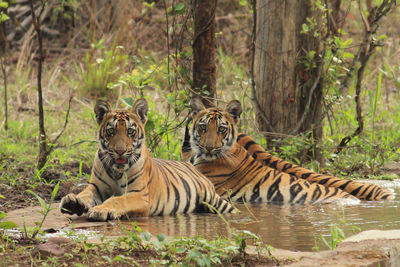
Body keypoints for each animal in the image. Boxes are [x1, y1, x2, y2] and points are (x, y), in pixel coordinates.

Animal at [59, 98, 234, 222]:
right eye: (111, 131)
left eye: (130, 131)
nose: (120, 151)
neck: (116, 171)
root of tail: (191, 165)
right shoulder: (96, 187)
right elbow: (85, 193)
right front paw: (72, 201)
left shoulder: (139, 194)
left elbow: (117, 200)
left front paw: (100, 210)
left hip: (213, 199)